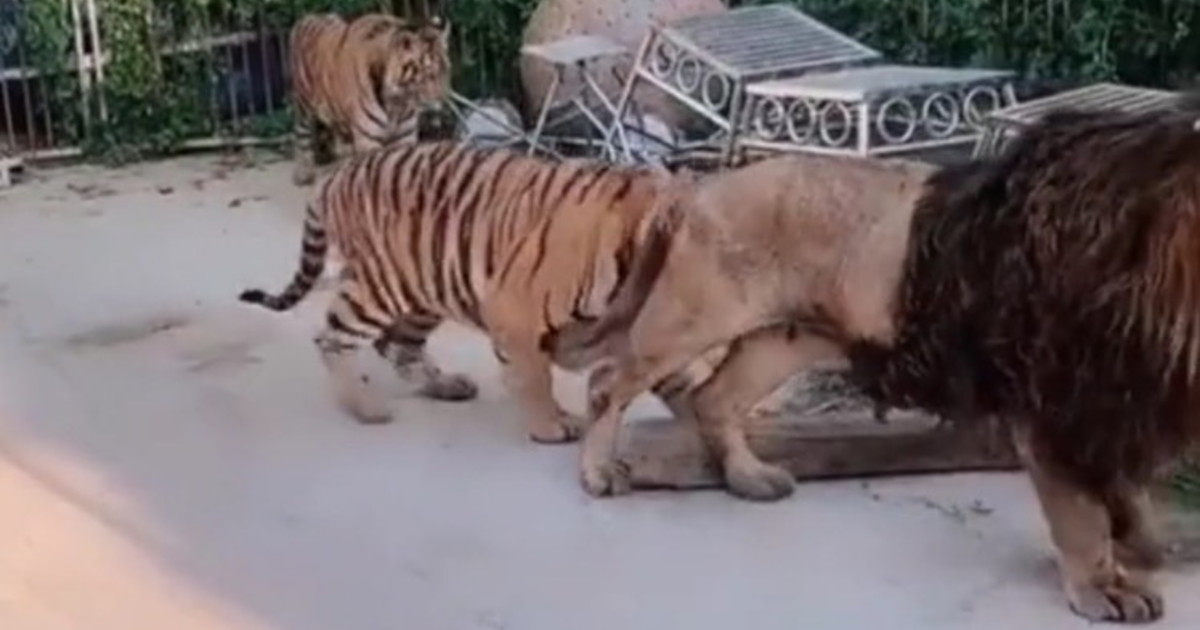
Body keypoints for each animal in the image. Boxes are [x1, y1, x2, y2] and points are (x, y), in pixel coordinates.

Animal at [238, 141, 690, 444]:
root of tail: (335, 175)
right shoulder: (512, 308)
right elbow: (534, 375)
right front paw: (550, 426)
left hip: (426, 286)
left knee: (398, 345)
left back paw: (446, 386)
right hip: (384, 285)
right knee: (332, 338)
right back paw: (366, 408)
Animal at [287, 11, 452, 186]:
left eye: (446, 71)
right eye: (429, 74)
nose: (444, 99)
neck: (397, 103)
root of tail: (306, 18)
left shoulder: (404, 136)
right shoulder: (369, 140)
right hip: (303, 104)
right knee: (301, 134)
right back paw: (303, 174)